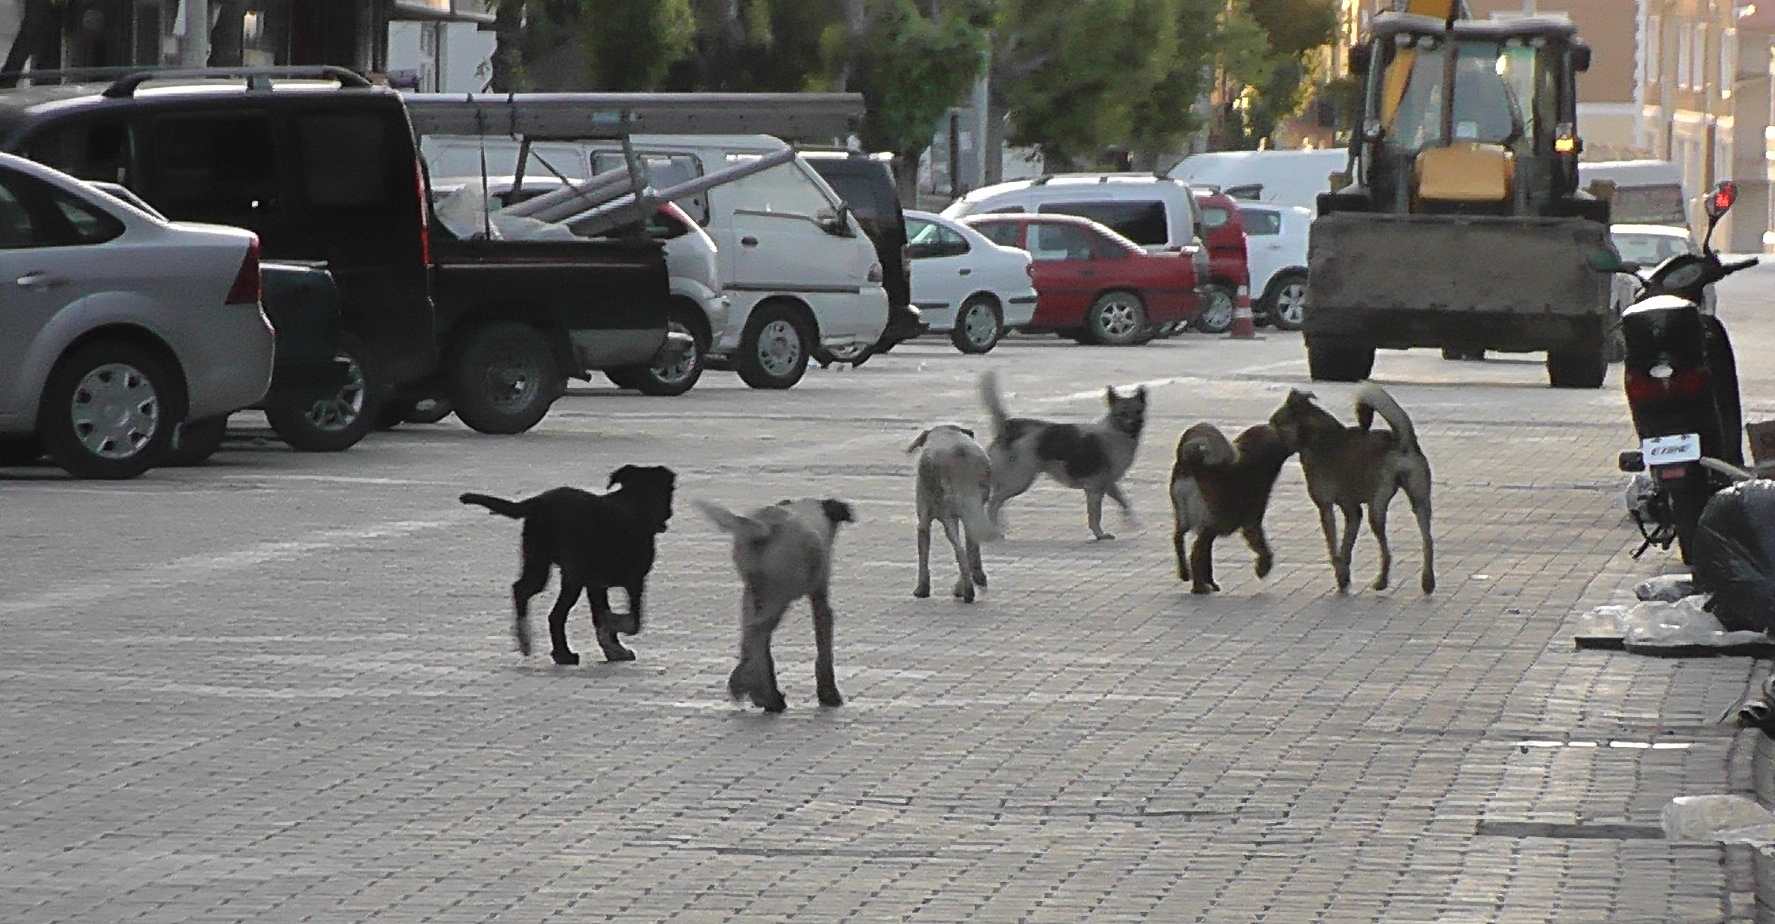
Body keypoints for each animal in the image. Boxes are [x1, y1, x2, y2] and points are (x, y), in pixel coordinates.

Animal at [461, 468, 674, 663]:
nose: (668, 515)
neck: (635, 504)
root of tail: (538, 502)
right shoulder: (634, 580)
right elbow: (634, 621)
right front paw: (613, 624)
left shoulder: (596, 585)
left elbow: (601, 618)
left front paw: (614, 649)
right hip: (573, 575)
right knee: (555, 614)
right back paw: (561, 654)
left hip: (539, 562)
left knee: (521, 590)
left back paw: (529, 642)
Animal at [695, 496, 855, 712]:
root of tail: (768, 524)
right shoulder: (819, 597)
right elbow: (824, 645)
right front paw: (830, 694)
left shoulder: (758, 596)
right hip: (779, 596)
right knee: (756, 634)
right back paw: (756, 690)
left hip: (754, 593)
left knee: (750, 635)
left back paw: (759, 690)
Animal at [908, 423, 994, 602]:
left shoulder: (924, 517)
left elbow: (923, 546)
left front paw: (921, 590)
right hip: (973, 503)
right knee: (970, 547)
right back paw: (974, 581)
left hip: (947, 508)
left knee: (960, 549)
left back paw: (967, 590)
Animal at [972, 368, 1150, 539]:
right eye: (1122, 413)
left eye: (1138, 412)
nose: (1134, 426)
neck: (1115, 432)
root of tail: (1008, 426)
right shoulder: (1094, 488)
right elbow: (1095, 515)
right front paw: (1099, 534)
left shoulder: (1108, 485)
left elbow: (1124, 502)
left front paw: (1130, 522)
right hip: (1019, 480)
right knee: (993, 503)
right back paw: (995, 531)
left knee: (997, 504)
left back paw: (999, 528)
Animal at [1270, 383, 1434, 595]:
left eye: (1275, 423)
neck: (1316, 436)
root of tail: (1402, 442)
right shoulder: (1353, 511)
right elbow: (1346, 547)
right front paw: (1344, 576)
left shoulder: (1326, 508)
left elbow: (1334, 548)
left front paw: (1340, 576)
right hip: (1420, 500)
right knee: (1427, 540)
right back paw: (1428, 581)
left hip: (1377, 506)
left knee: (1386, 550)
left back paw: (1382, 580)